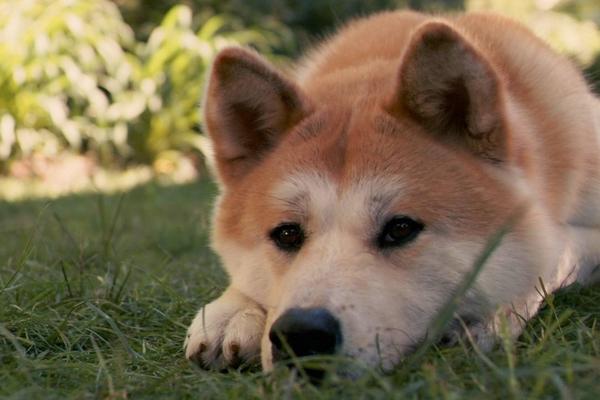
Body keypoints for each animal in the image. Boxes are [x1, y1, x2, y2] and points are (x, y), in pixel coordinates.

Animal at [183, 10, 600, 376]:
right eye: (286, 234)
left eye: (400, 229)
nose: (302, 334)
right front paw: (233, 312)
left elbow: (553, 256)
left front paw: (491, 315)